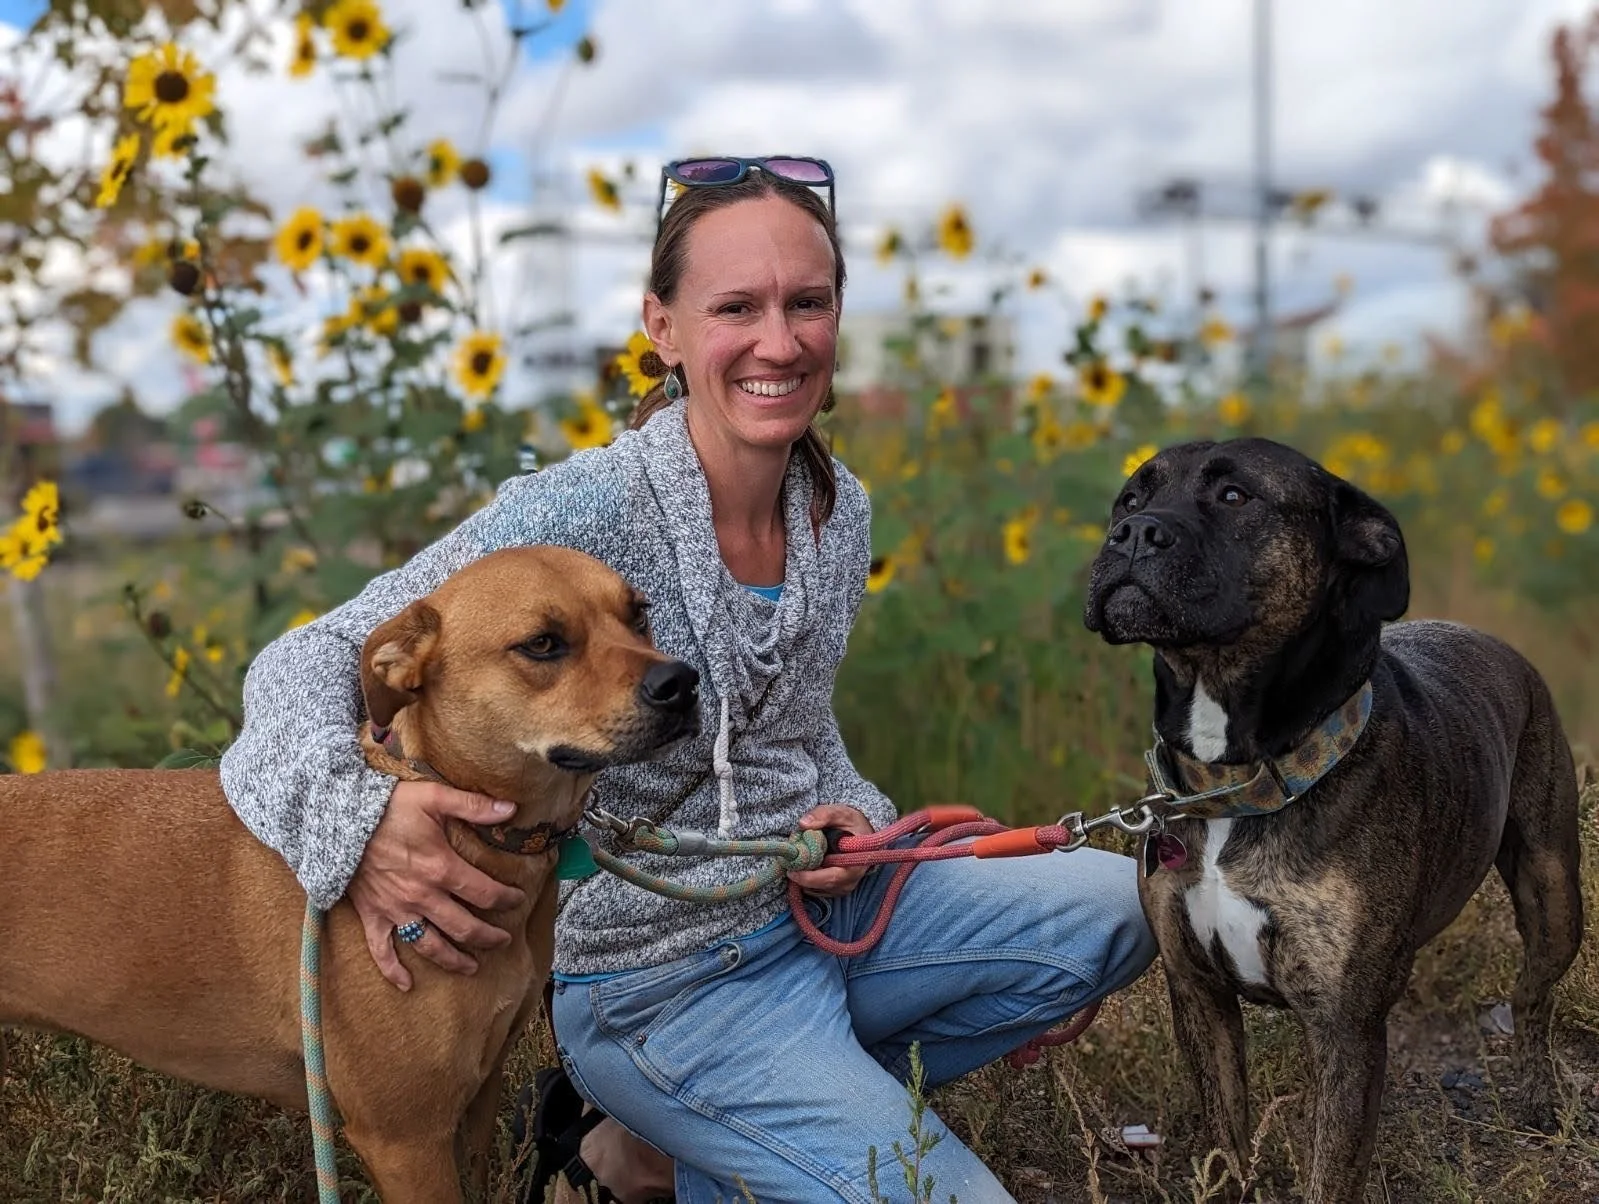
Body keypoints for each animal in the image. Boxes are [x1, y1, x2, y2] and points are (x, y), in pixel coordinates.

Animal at [0, 545, 700, 1202]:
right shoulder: (404, 1140)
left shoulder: (477, 1097)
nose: (682, 682)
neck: (468, 827)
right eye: (543, 643)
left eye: (639, 614)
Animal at [1083, 437, 1583, 1203]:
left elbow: (1330, 1170)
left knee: (1532, 997)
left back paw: (1536, 1098)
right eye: (1129, 500)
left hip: (1552, 894)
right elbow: (1227, 1141)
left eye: (1235, 496)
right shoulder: (1198, 994)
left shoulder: (1346, 1026)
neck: (1238, 780)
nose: (1133, 533)